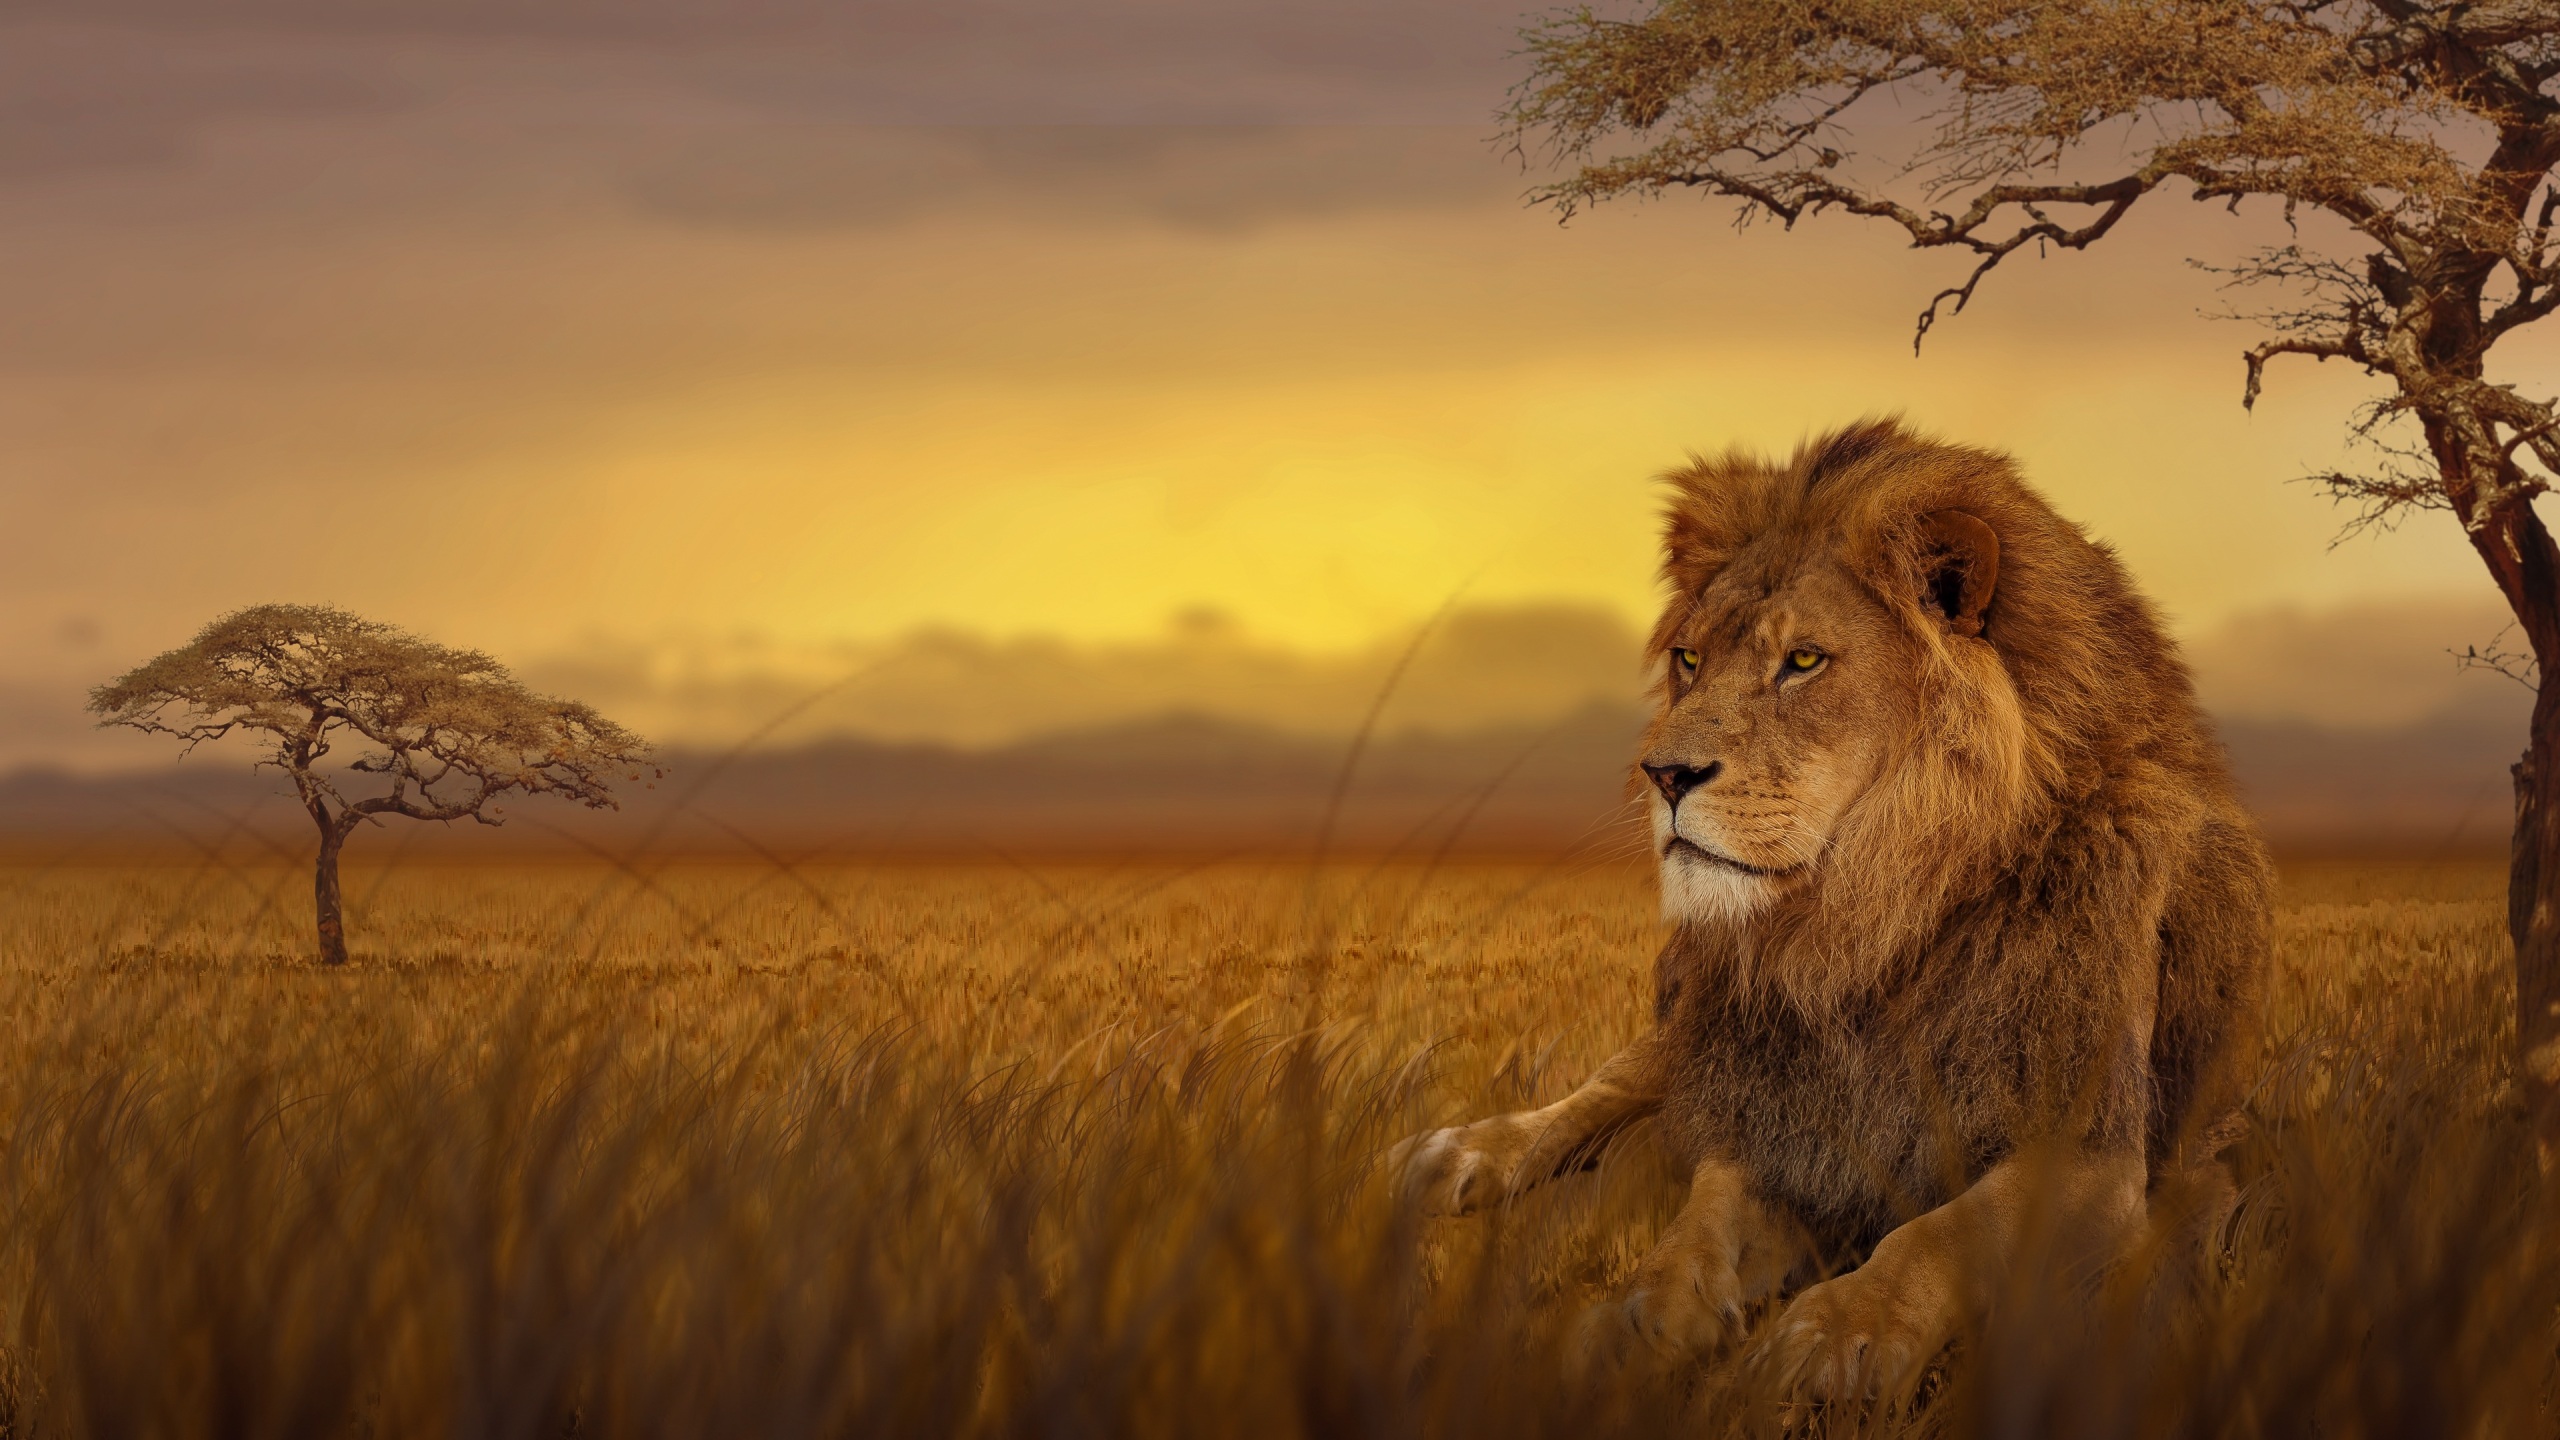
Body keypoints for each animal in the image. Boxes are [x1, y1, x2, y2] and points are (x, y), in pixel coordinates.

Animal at [1394, 418, 2270, 1397]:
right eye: (1690, 659)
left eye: (1803, 661)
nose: (1663, 774)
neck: (1869, 927)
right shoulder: (1775, 1108)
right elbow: (1697, 1224)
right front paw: (1638, 1321)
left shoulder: (2091, 1148)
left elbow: (1941, 1232)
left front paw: (1838, 1331)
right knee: (1614, 1084)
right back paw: (1464, 1156)